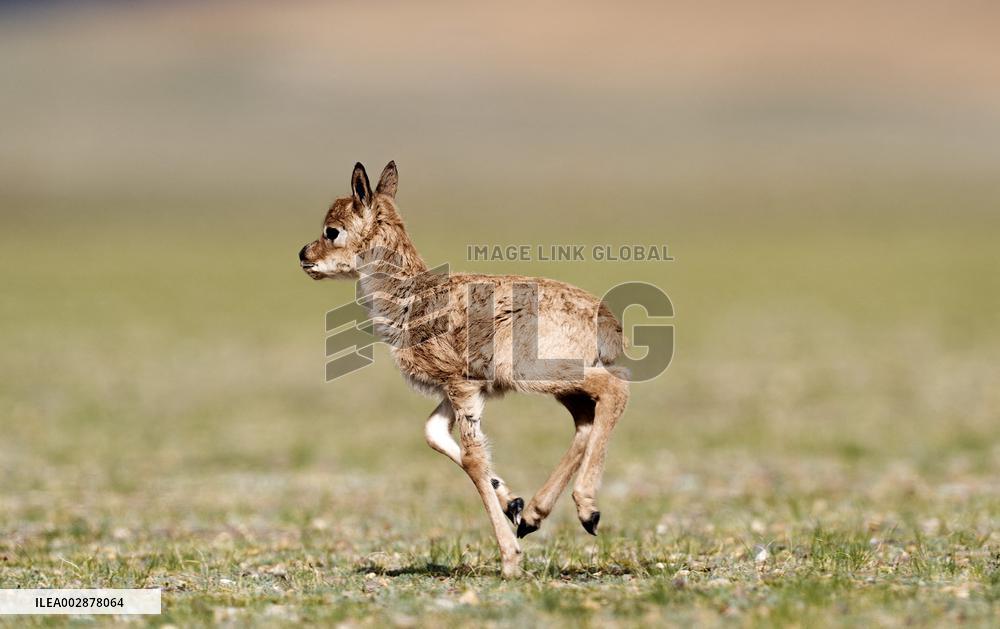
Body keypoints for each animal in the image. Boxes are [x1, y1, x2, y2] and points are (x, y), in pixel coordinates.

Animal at [298, 162, 629, 577]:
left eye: (332, 230)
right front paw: (512, 503)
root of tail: (608, 323)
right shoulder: (460, 390)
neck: (412, 299)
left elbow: (472, 457)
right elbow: (433, 433)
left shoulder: (461, 385)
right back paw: (534, 515)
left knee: (614, 391)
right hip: (561, 387)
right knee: (586, 418)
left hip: (543, 373)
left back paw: (587, 510)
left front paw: (509, 559)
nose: (304, 255)